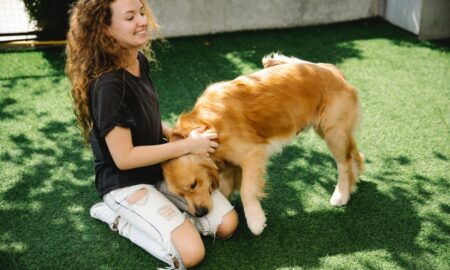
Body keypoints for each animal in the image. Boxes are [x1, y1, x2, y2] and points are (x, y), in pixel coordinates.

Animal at [163, 52, 364, 234]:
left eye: (193, 184)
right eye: (179, 194)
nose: (200, 213)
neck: (207, 126)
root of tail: (334, 71)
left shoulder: (252, 155)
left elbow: (247, 190)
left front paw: (255, 221)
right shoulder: (229, 166)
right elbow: (227, 188)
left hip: (333, 133)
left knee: (343, 163)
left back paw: (341, 194)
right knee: (355, 154)